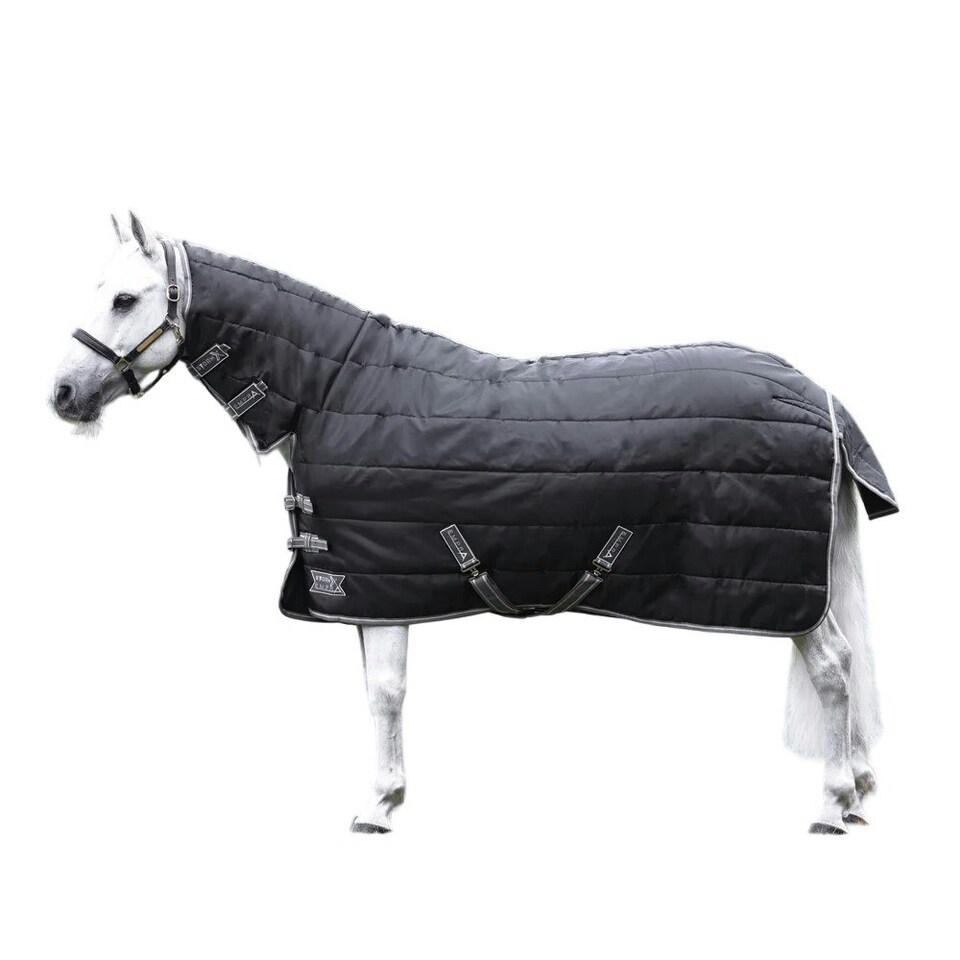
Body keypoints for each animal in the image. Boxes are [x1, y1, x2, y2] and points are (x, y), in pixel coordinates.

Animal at [50, 212, 897, 834]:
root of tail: (820, 397)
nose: (61, 393)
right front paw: (387, 795)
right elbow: (374, 688)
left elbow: (385, 693)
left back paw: (831, 804)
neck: (330, 389)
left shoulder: (382, 587)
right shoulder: (365, 589)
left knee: (834, 668)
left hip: (790, 595)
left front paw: (376, 807)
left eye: (124, 299)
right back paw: (857, 789)